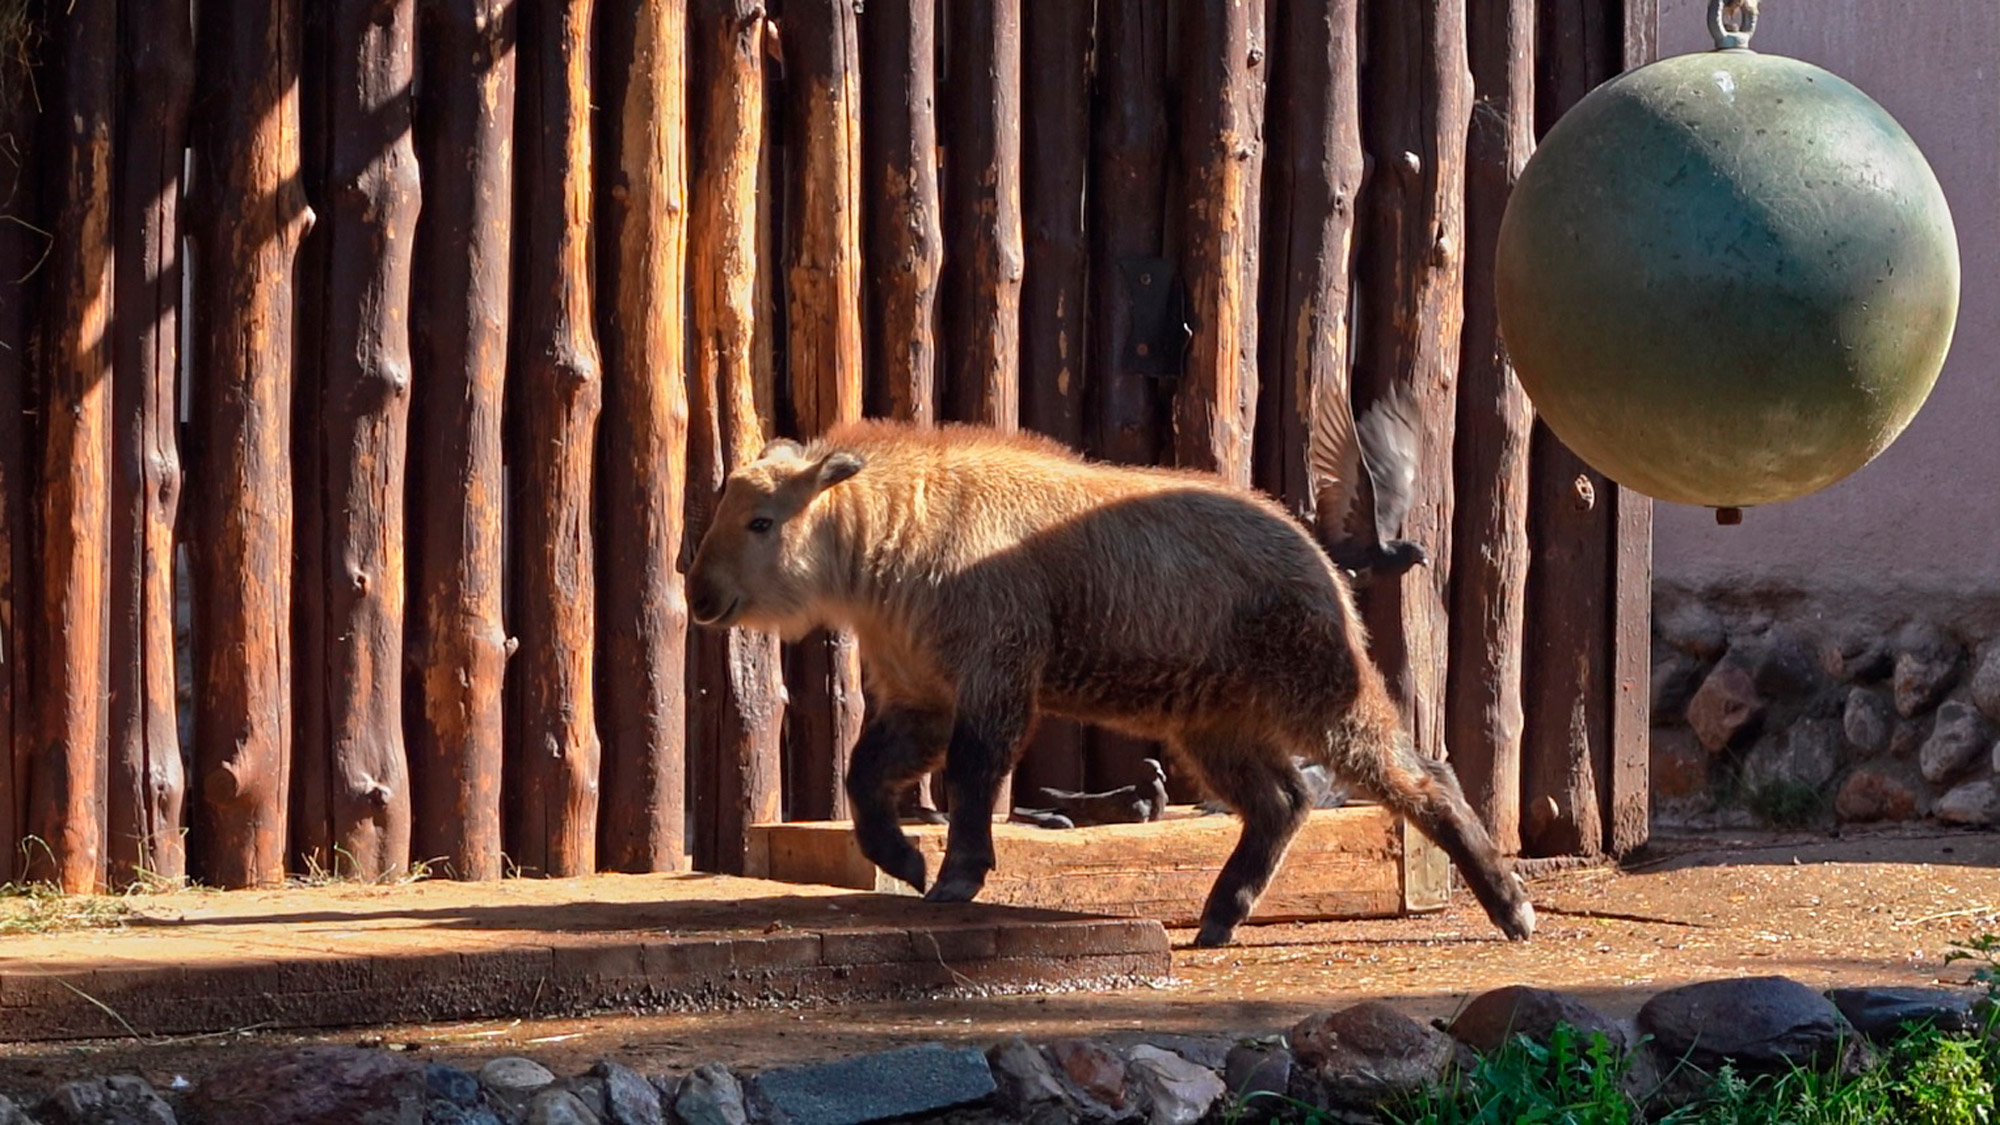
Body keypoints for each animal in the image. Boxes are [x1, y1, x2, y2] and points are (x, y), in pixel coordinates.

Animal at [688, 416, 1528, 940]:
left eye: (761, 520)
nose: (698, 594)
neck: (894, 539)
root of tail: (1319, 554)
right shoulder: (922, 691)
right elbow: (865, 775)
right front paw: (902, 859)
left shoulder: (995, 672)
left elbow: (972, 774)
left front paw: (957, 873)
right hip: (1213, 721)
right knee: (1282, 801)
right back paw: (1222, 912)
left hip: (1318, 696)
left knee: (1424, 778)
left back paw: (1509, 904)